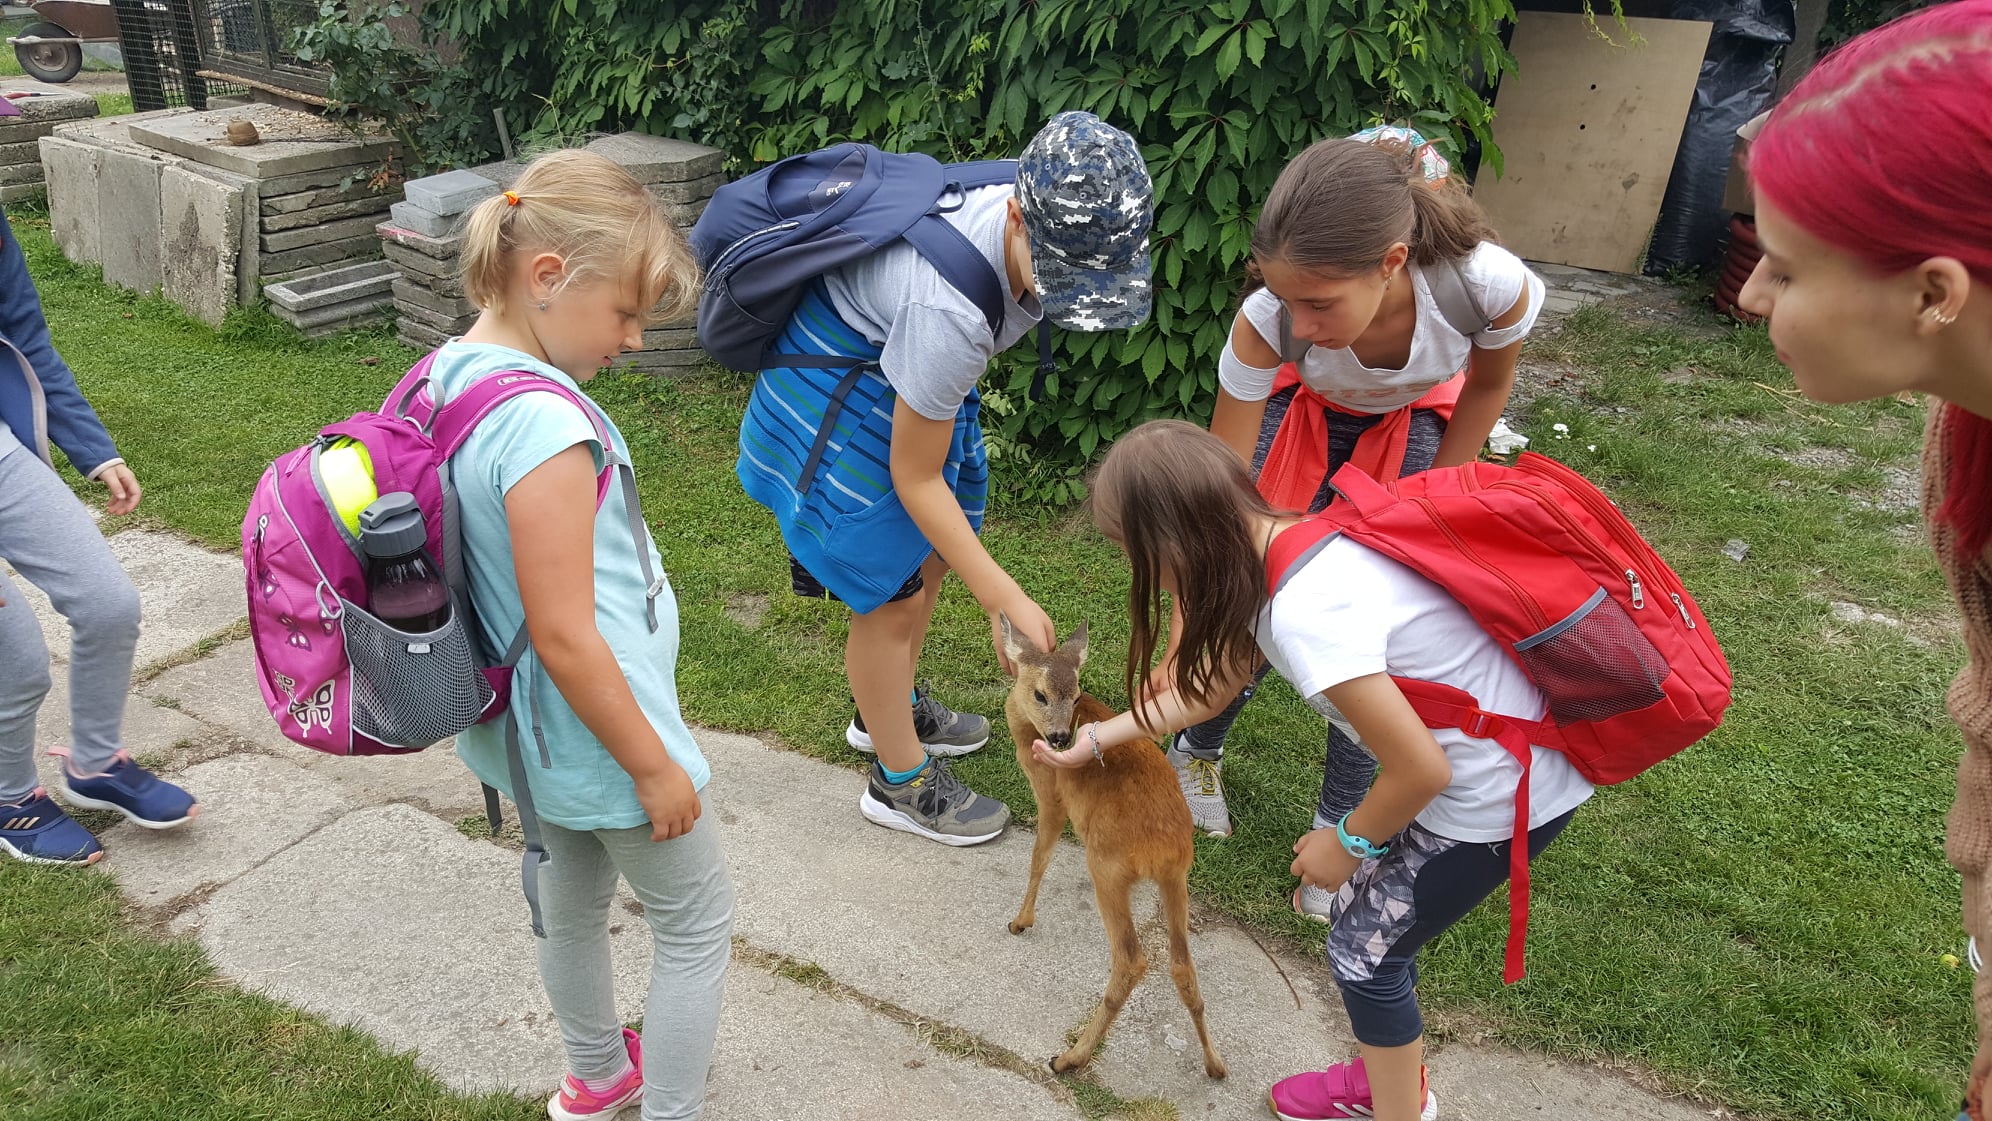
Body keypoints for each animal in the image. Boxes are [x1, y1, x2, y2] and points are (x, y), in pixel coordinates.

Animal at [999, 614, 1227, 1080]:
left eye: (1075, 694)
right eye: (1041, 694)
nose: (1060, 737)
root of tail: (1163, 849)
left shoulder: (1051, 795)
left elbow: (1038, 858)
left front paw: (1020, 921)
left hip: (1107, 865)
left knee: (1131, 959)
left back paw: (1069, 1057)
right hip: (1177, 879)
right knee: (1182, 965)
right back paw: (1215, 1065)